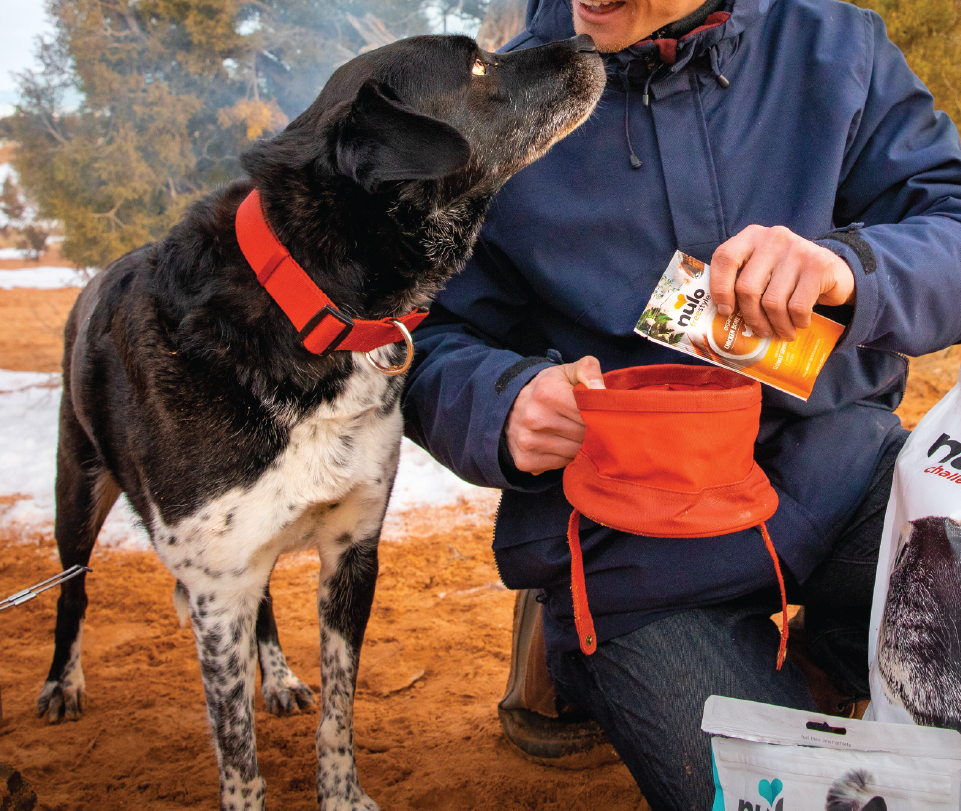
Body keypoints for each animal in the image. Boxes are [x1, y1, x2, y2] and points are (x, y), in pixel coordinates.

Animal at [41, 33, 604, 811]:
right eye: (476, 65)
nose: (586, 40)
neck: (313, 301)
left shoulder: (351, 552)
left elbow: (340, 711)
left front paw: (341, 794)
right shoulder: (217, 589)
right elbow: (238, 756)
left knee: (265, 610)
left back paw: (278, 678)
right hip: (79, 485)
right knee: (74, 588)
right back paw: (62, 684)